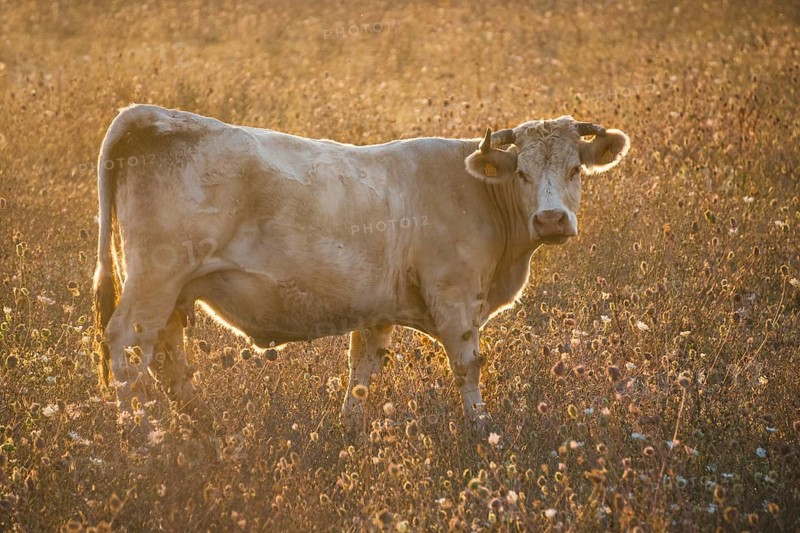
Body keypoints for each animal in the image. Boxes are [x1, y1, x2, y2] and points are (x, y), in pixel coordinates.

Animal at [93, 104, 630, 436]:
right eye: (522, 173)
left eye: (575, 169)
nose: (551, 219)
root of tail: (151, 114)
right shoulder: (455, 297)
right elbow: (467, 365)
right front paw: (481, 429)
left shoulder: (377, 312)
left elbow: (363, 372)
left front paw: (348, 430)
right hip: (154, 280)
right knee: (127, 349)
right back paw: (141, 435)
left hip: (174, 292)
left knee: (168, 359)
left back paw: (203, 429)